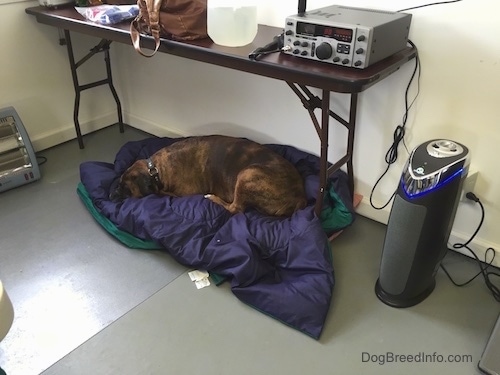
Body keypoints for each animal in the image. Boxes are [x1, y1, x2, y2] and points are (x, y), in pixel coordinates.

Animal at [110, 135, 308, 217]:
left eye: (125, 187)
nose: (111, 194)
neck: (157, 169)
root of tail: (300, 196)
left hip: (247, 174)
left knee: (235, 209)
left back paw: (212, 198)